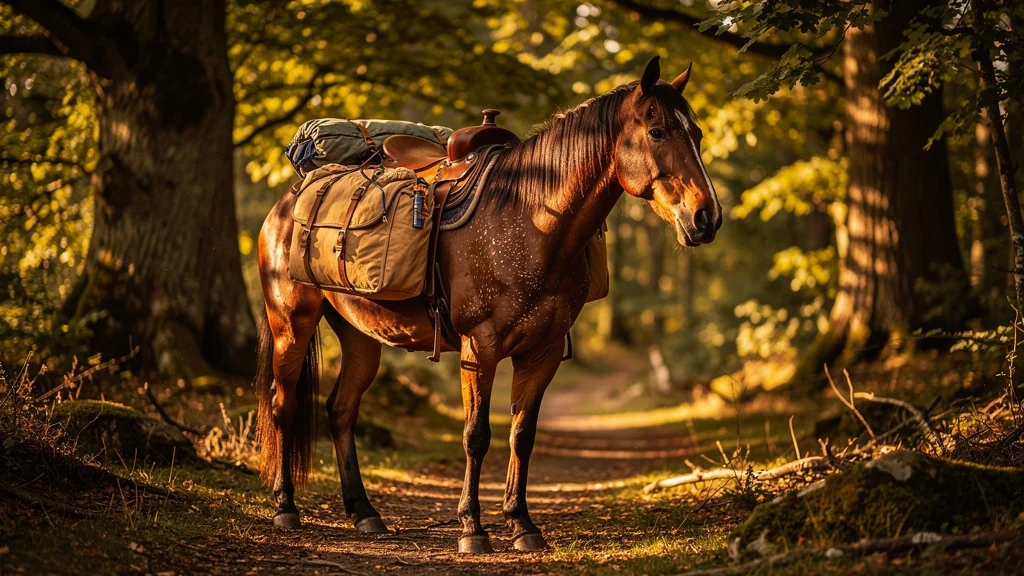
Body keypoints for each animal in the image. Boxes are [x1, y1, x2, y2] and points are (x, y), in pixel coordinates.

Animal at [254, 56, 722, 554]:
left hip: (361, 335)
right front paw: (472, 528)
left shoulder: (542, 352)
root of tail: (283, 205)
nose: (706, 217)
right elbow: (476, 435)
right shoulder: (480, 348)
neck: (530, 219)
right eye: (657, 132)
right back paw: (286, 506)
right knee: (284, 405)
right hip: (291, 324)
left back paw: (364, 512)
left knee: (341, 410)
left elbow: (522, 434)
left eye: (696, 134)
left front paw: (522, 523)